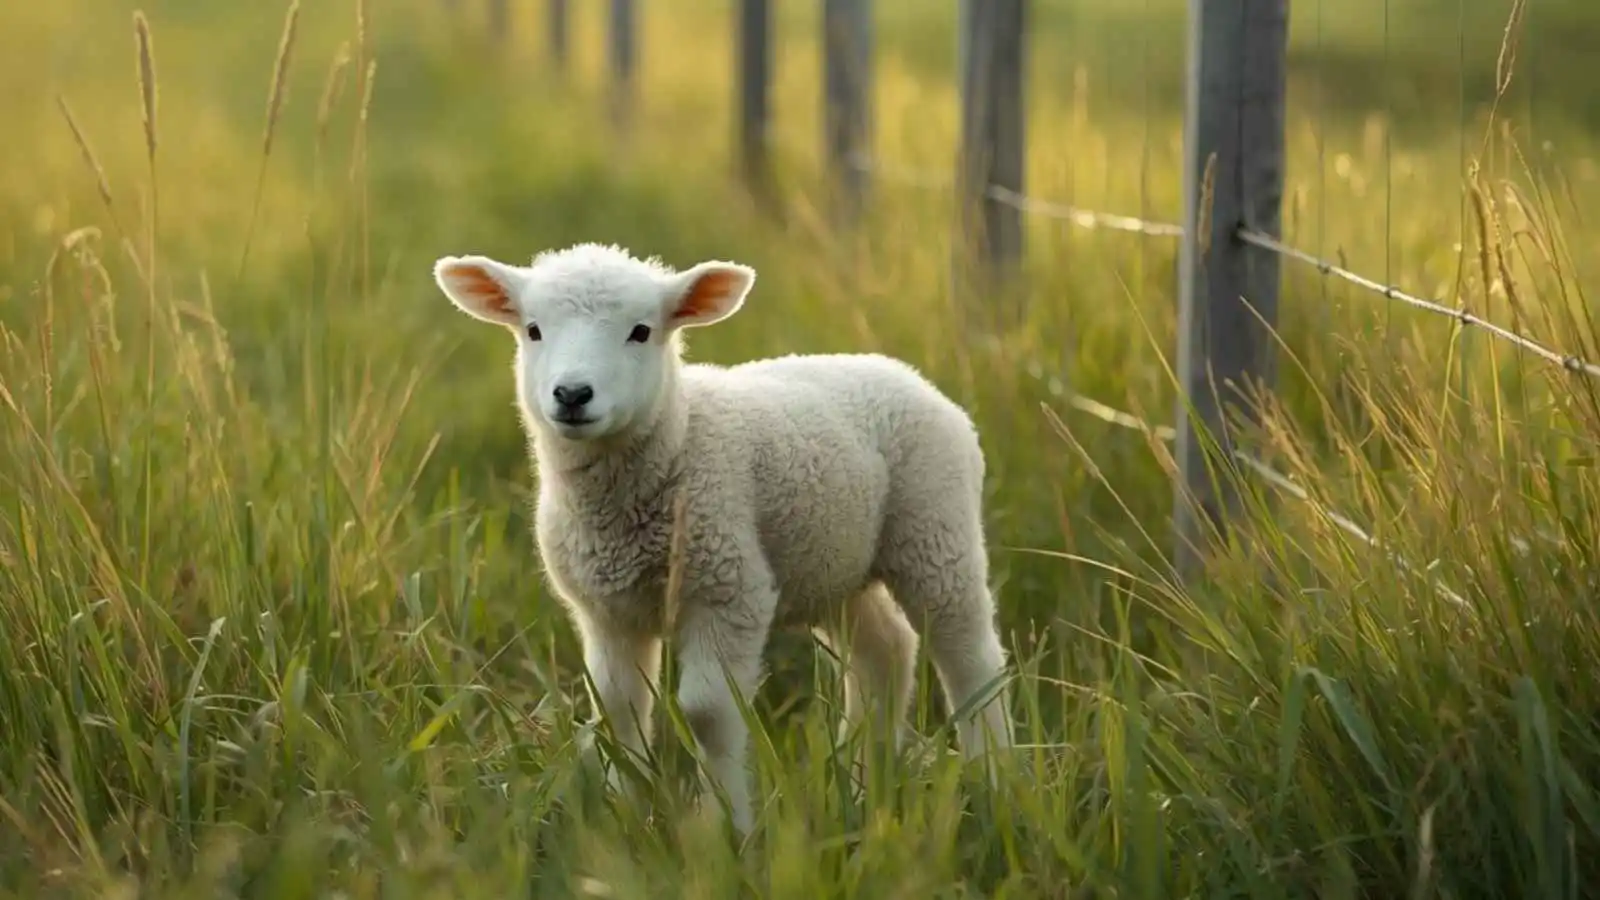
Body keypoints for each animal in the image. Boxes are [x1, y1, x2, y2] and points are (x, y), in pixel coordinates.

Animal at [431, 242, 1014, 836]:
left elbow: (707, 712)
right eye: (533, 330)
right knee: (885, 649)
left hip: (935, 529)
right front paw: (626, 817)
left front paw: (725, 828)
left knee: (970, 656)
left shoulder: (728, 589)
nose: (572, 394)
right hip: (833, 564)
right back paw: (862, 787)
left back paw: (993, 783)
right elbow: (618, 707)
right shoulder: (607, 609)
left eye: (641, 331)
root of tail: (901, 371)